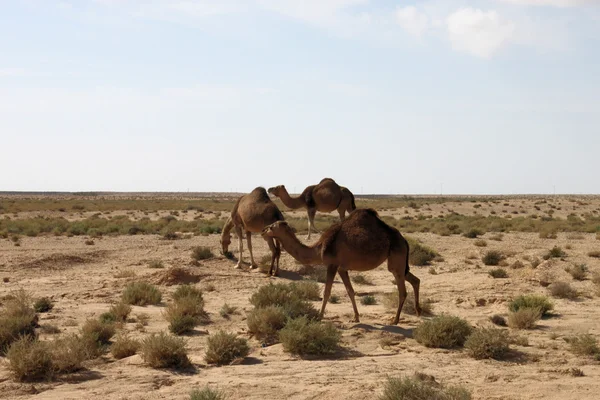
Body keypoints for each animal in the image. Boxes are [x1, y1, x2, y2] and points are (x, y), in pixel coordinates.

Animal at [260, 208, 420, 326]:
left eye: (272, 226)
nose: (262, 231)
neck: (319, 248)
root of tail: (404, 240)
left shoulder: (332, 264)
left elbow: (326, 292)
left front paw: (319, 316)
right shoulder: (342, 268)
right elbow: (350, 291)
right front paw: (355, 318)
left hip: (396, 257)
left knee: (402, 290)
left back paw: (395, 320)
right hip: (397, 262)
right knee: (415, 280)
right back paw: (418, 311)